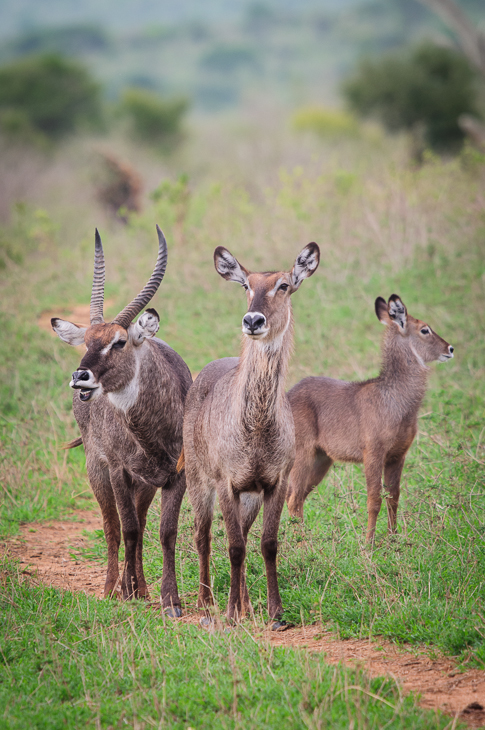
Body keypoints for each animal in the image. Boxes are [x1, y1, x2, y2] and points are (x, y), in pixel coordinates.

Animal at [51, 228, 191, 608]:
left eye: (120, 341)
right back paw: (112, 587)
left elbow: (165, 532)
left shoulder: (176, 475)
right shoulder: (118, 470)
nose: (80, 376)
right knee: (112, 527)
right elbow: (125, 529)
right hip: (97, 470)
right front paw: (124, 591)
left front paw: (169, 600)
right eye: (86, 340)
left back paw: (140, 587)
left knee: (139, 527)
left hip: (144, 484)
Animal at [180, 242, 320, 624]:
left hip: (250, 495)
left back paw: (244, 603)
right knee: (203, 535)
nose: (253, 321)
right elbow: (234, 546)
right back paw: (207, 603)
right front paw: (229, 613)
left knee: (240, 532)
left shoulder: (275, 481)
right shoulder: (226, 481)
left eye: (283, 285)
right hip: (198, 479)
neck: (255, 430)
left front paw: (276, 612)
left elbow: (266, 544)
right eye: (246, 285)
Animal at [286, 292, 452, 540]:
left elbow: (393, 497)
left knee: (293, 495)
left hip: (321, 458)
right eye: (425, 329)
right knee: (294, 499)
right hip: (302, 453)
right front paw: (369, 543)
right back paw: (301, 544)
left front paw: (393, 539)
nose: (450, 349)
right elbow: (374, 499)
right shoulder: (373, 452)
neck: (397, 402)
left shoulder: (398, 454)